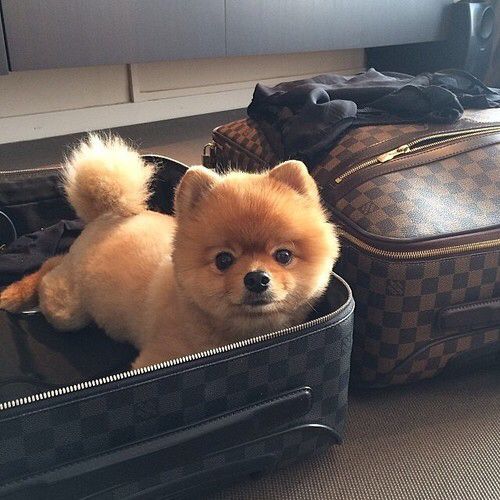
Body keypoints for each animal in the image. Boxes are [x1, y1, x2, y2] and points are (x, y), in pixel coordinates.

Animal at [0, 135, 340, 370]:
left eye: (283, 256)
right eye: (223, 260)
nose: (256, 278)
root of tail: (107, 215)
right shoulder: (157, 358)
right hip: (67, 310)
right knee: (51, 270)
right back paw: (18, 292)